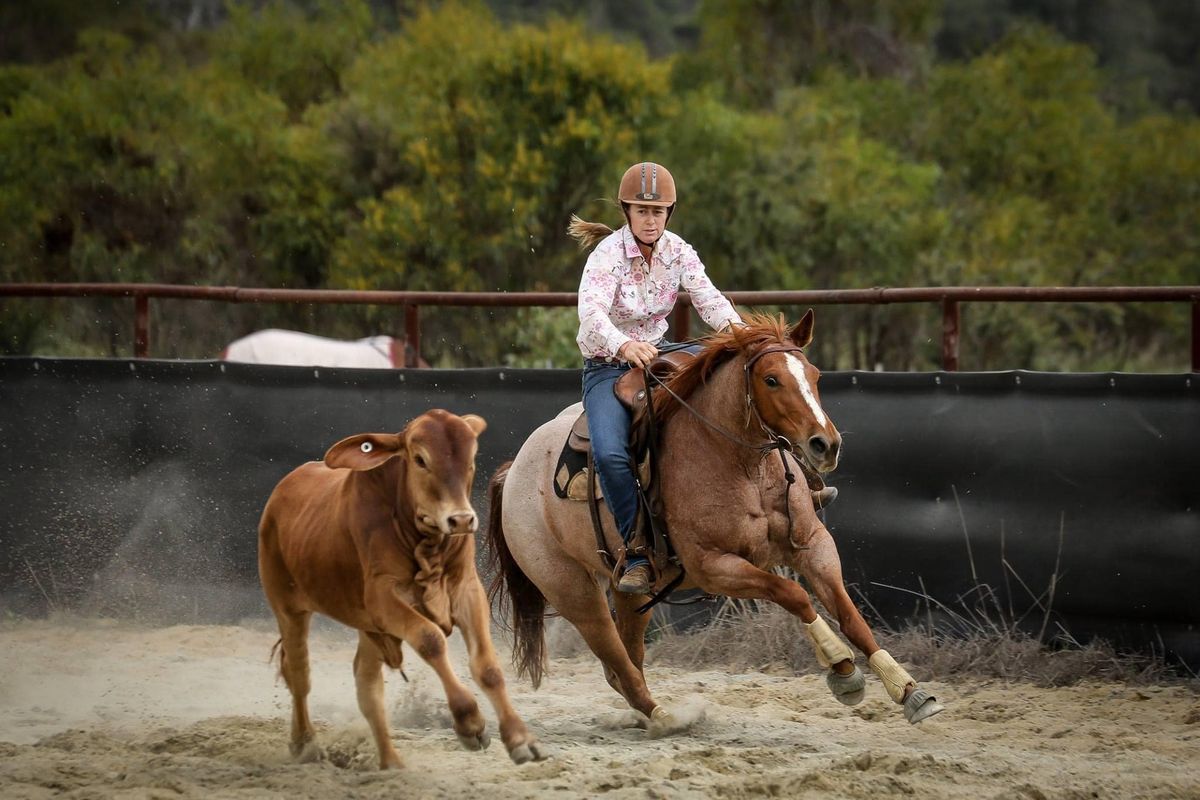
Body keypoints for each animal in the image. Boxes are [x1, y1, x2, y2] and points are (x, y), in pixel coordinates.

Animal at [262, 412, 549, 767]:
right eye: (420, 459)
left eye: (470, 459)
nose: (461, 520)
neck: (424, 541)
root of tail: (281, 492)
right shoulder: (383, 598)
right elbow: (431, 640)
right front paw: (469, 722)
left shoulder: (467, 591)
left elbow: (488, 666)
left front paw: (519, 737)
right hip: (288, 606)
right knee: (299, 673)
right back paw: (305, 743)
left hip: (370, 628)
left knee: (367, 687)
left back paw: (391, 764)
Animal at [482, 311, 940, 734]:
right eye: (771, 380)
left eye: (814, 374)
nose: (825, 445)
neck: (739, 463)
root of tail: (514, 470)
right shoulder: (715, 567)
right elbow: (794, 594)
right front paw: (842, 669)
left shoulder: (812, 543)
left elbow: (848, 613)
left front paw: (907, 689)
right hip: (572, 590)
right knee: (616, 660)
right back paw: (663, 716)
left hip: (631, 590)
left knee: (625, 658)